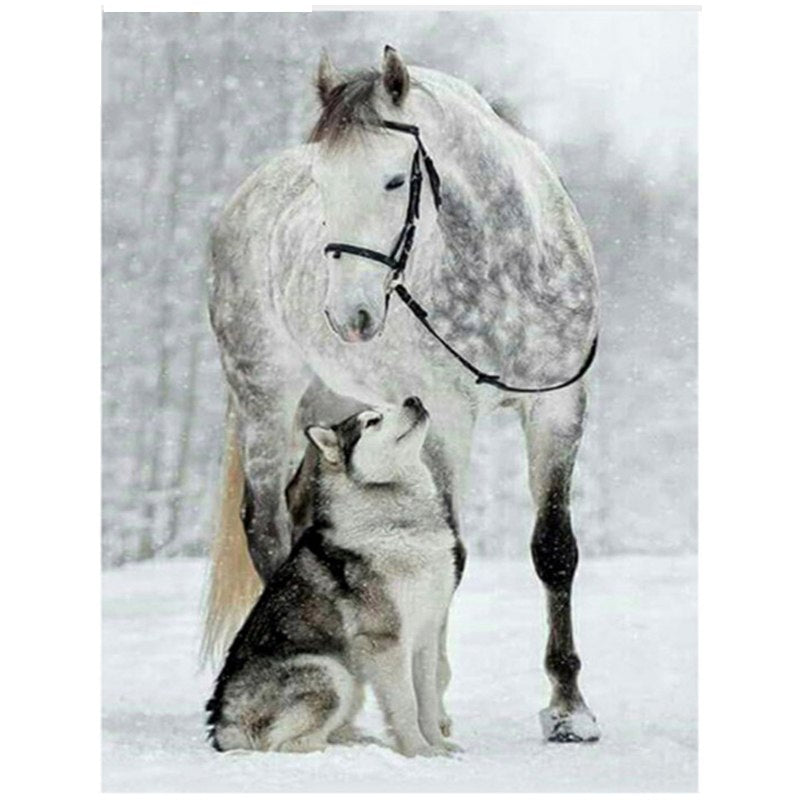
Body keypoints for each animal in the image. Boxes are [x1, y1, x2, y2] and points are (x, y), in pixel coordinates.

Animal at [206, 397, 466, 756]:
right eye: (373, 421)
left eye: (391, 403)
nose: (413, 399)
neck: (401, 525)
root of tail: (222, 726)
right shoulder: (386, 640)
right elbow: (406, 704)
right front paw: (419, 751)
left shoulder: (426, 632)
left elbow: (426, 700)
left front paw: (439, 746)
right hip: (332, 671)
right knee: (285, 744)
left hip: (350, 682)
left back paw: (357, 739)